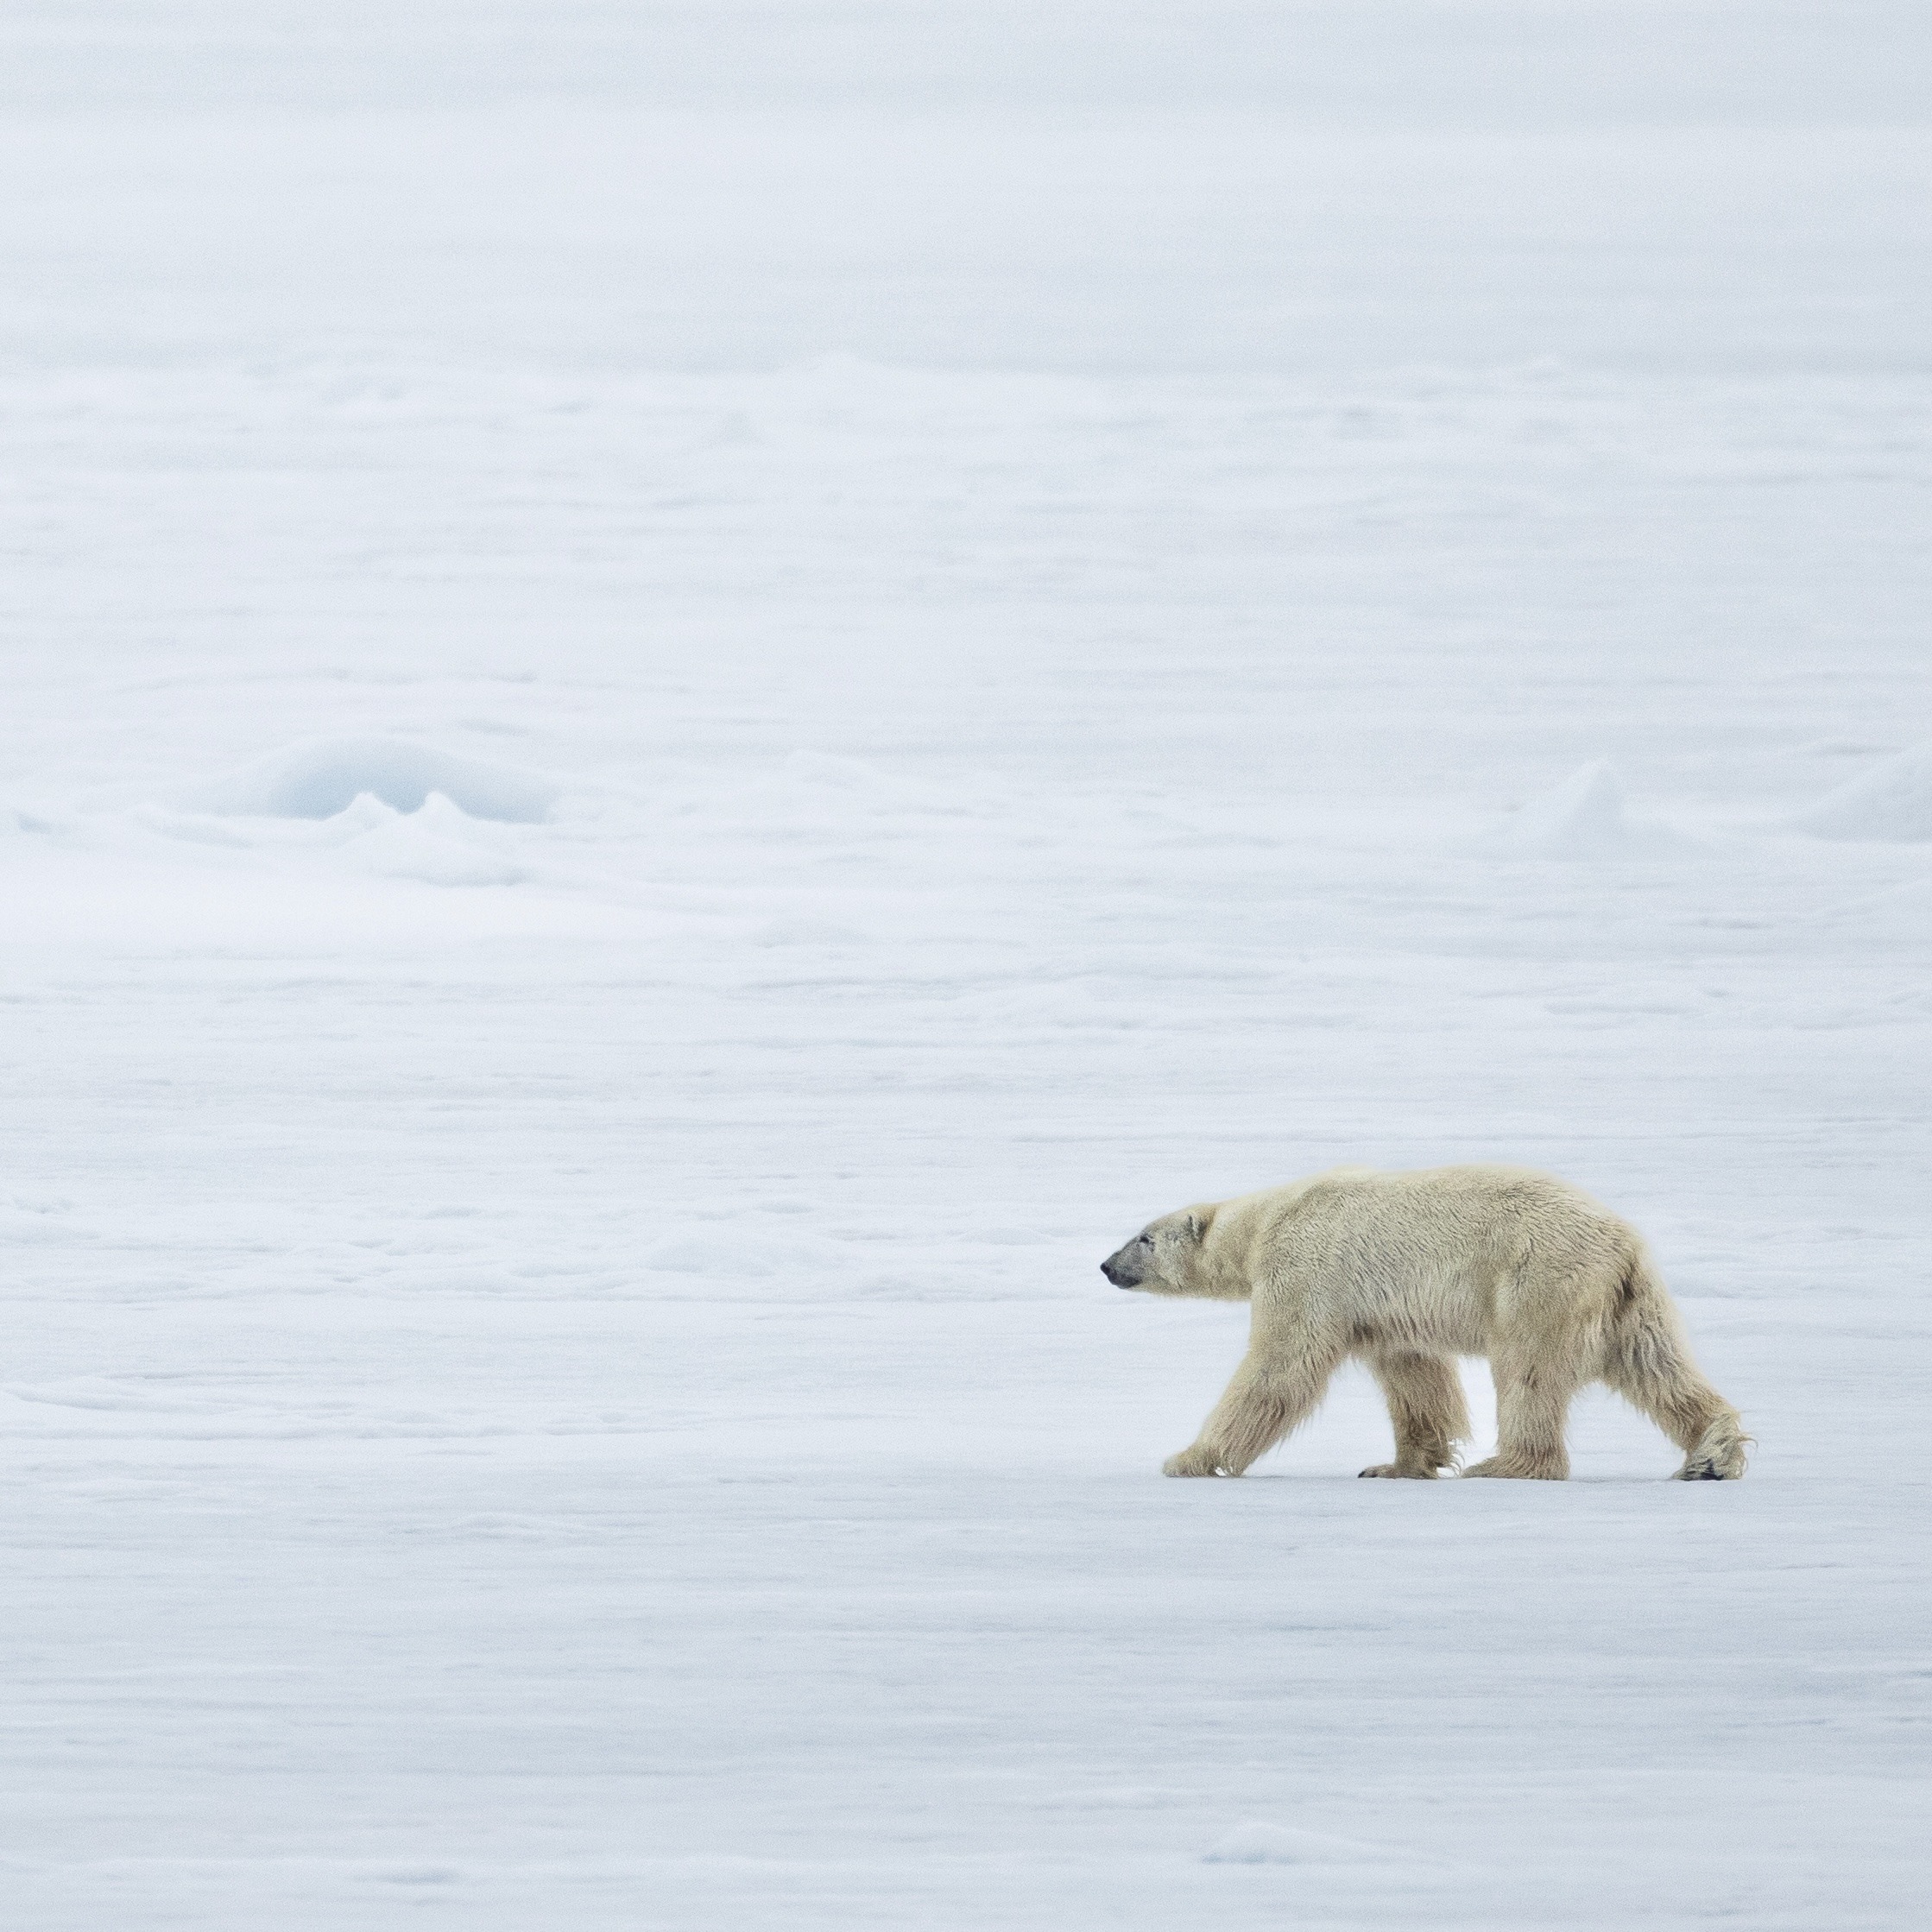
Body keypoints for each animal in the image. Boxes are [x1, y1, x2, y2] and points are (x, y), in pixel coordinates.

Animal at [1102, 1164, 1748, 1482]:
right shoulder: (1381, 1308)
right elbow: (1413, 1374)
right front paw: (1395, 1465)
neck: (1264, 1222)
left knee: (1527, 1370)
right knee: (1657, 1366)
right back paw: (1710, 1456)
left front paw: (1188, 1459)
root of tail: (1624, 1241)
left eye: (1144, 1237)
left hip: (1540, 1277)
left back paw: (1508, 1464)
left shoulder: (1306, 1268)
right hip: (1629, 1300)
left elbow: (1280, 1366)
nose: (1106, 1265)